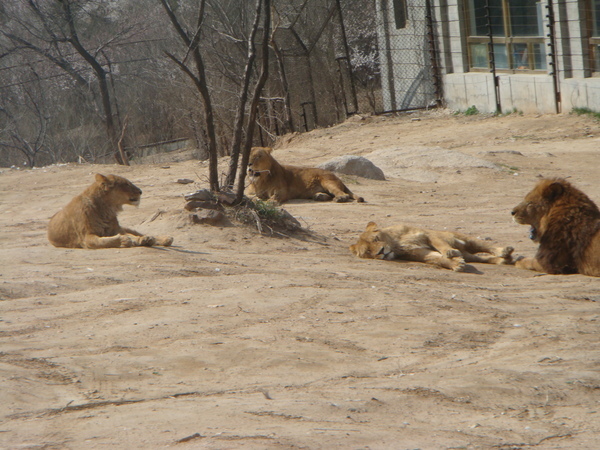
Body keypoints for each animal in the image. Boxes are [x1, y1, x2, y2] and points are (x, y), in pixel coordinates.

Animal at [350, 221, 512, 270]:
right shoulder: (419, 253)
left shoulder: (428, 236)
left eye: (376, 239)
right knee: (482, 258)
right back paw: (504, 260)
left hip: (466, 239)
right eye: (368, 251)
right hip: (471, 255)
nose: (381, 252)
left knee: (485, 246)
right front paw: (456, 264)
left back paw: (505, 250)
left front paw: (451, 253)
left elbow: (441, 246)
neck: (395, 244)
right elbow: (437, 258)